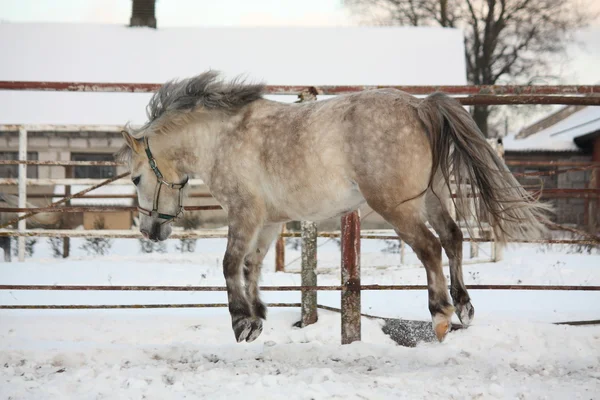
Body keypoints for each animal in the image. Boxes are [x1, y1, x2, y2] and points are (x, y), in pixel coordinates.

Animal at [117, 70, 548, 342]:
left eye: (136, 178)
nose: (149, 230)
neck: (221, 138)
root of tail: (421, 106)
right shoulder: (269, 221)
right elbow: (252, 265)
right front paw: (258, 316)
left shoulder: (244, 214)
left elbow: (229, 264)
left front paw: (241, 322)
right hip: (431, 196)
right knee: (454, 238)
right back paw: (464, 306)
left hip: (397, 206)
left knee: (430, 247)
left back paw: (441, 314)